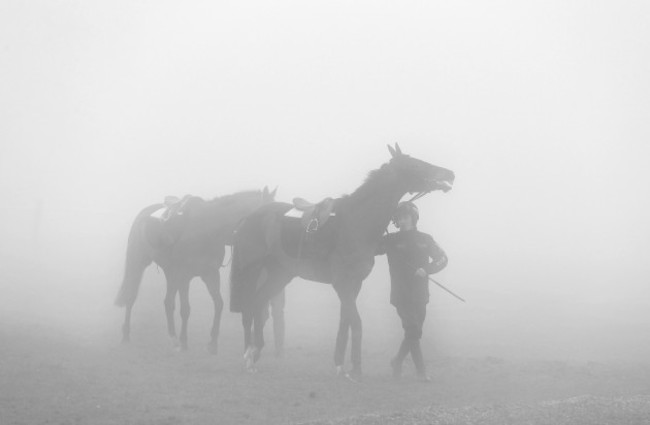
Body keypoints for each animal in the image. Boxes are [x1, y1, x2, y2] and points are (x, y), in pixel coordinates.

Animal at [115, 186, 274, 352]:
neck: (207, 230)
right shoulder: (184, 277)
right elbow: (185, 309)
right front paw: (184, 341)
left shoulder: (210, 274)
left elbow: (219, 304)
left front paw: (212, 343)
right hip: (138, 262)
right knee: (131, 297)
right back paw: (126, 335)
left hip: (170, 273)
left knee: (168, 302)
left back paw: (173, 338)